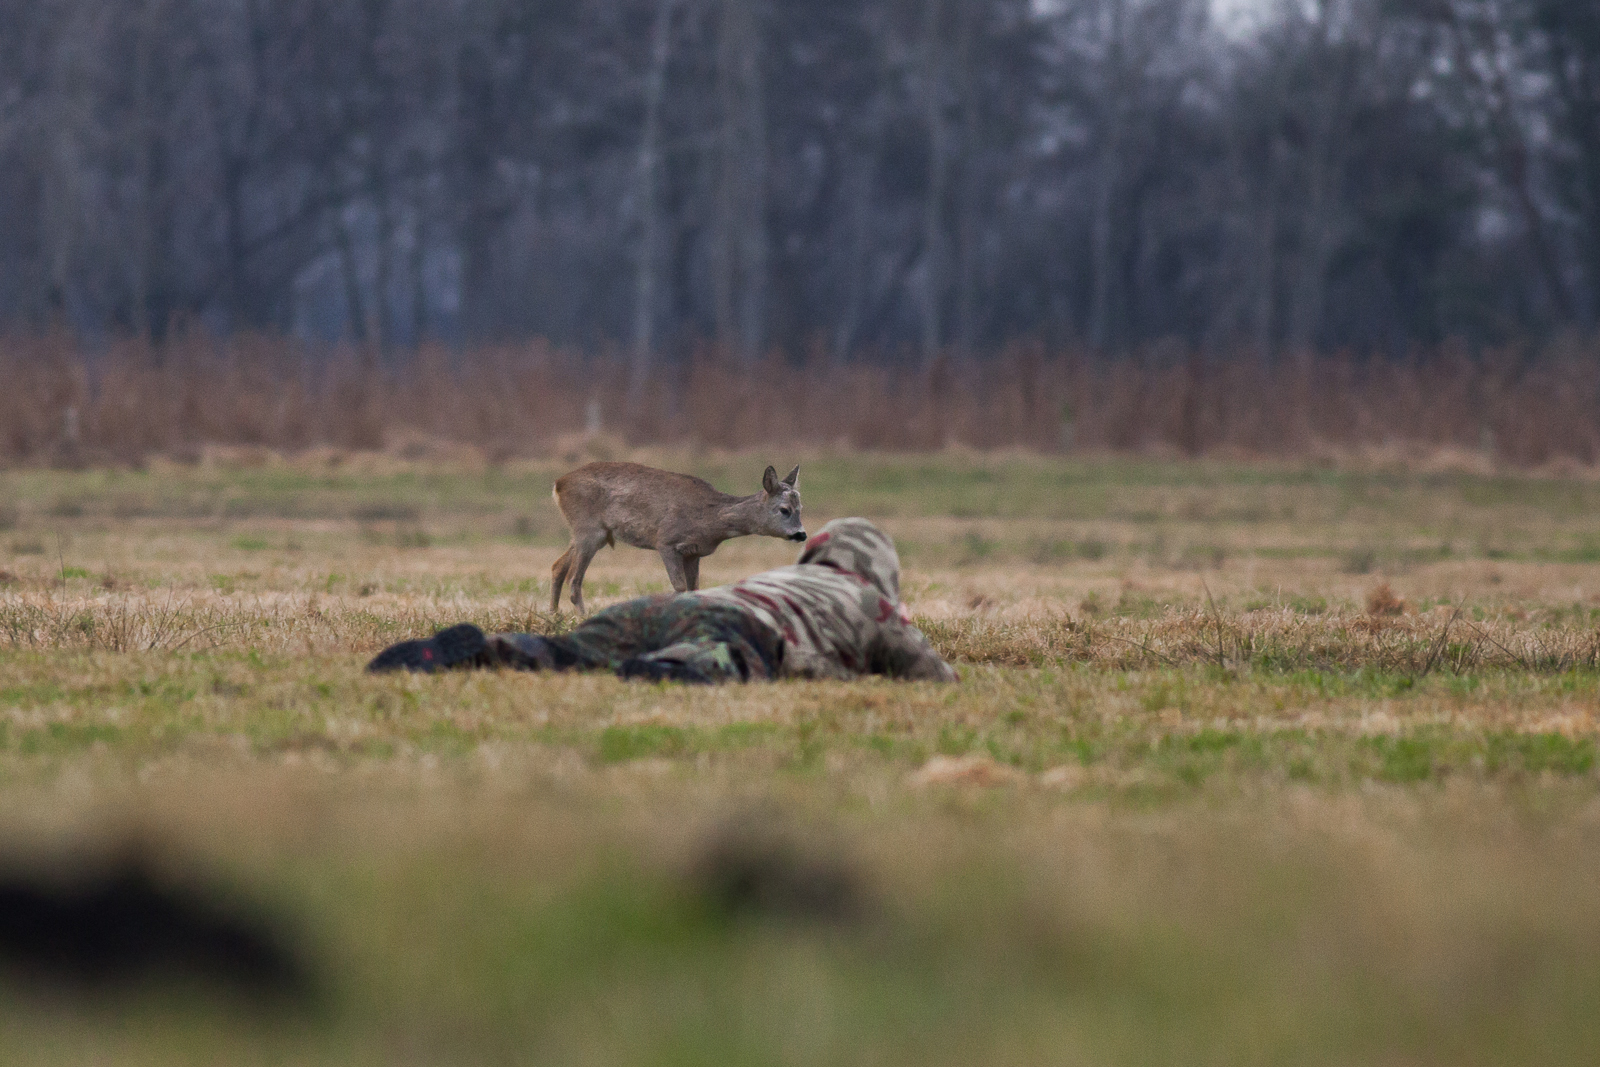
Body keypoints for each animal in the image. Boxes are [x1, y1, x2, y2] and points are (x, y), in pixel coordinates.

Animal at [550, 460, 806, 617]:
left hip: (593, 534)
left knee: (558, 566)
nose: (801, 534)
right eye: (784, 509)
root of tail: (558, 484)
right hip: (589, 530)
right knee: (574, 580)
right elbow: (680, 587)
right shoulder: (666, 541)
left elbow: (694, 589)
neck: (710, 520)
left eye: (801, 508)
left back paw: (553, 615)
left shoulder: (694, 552)